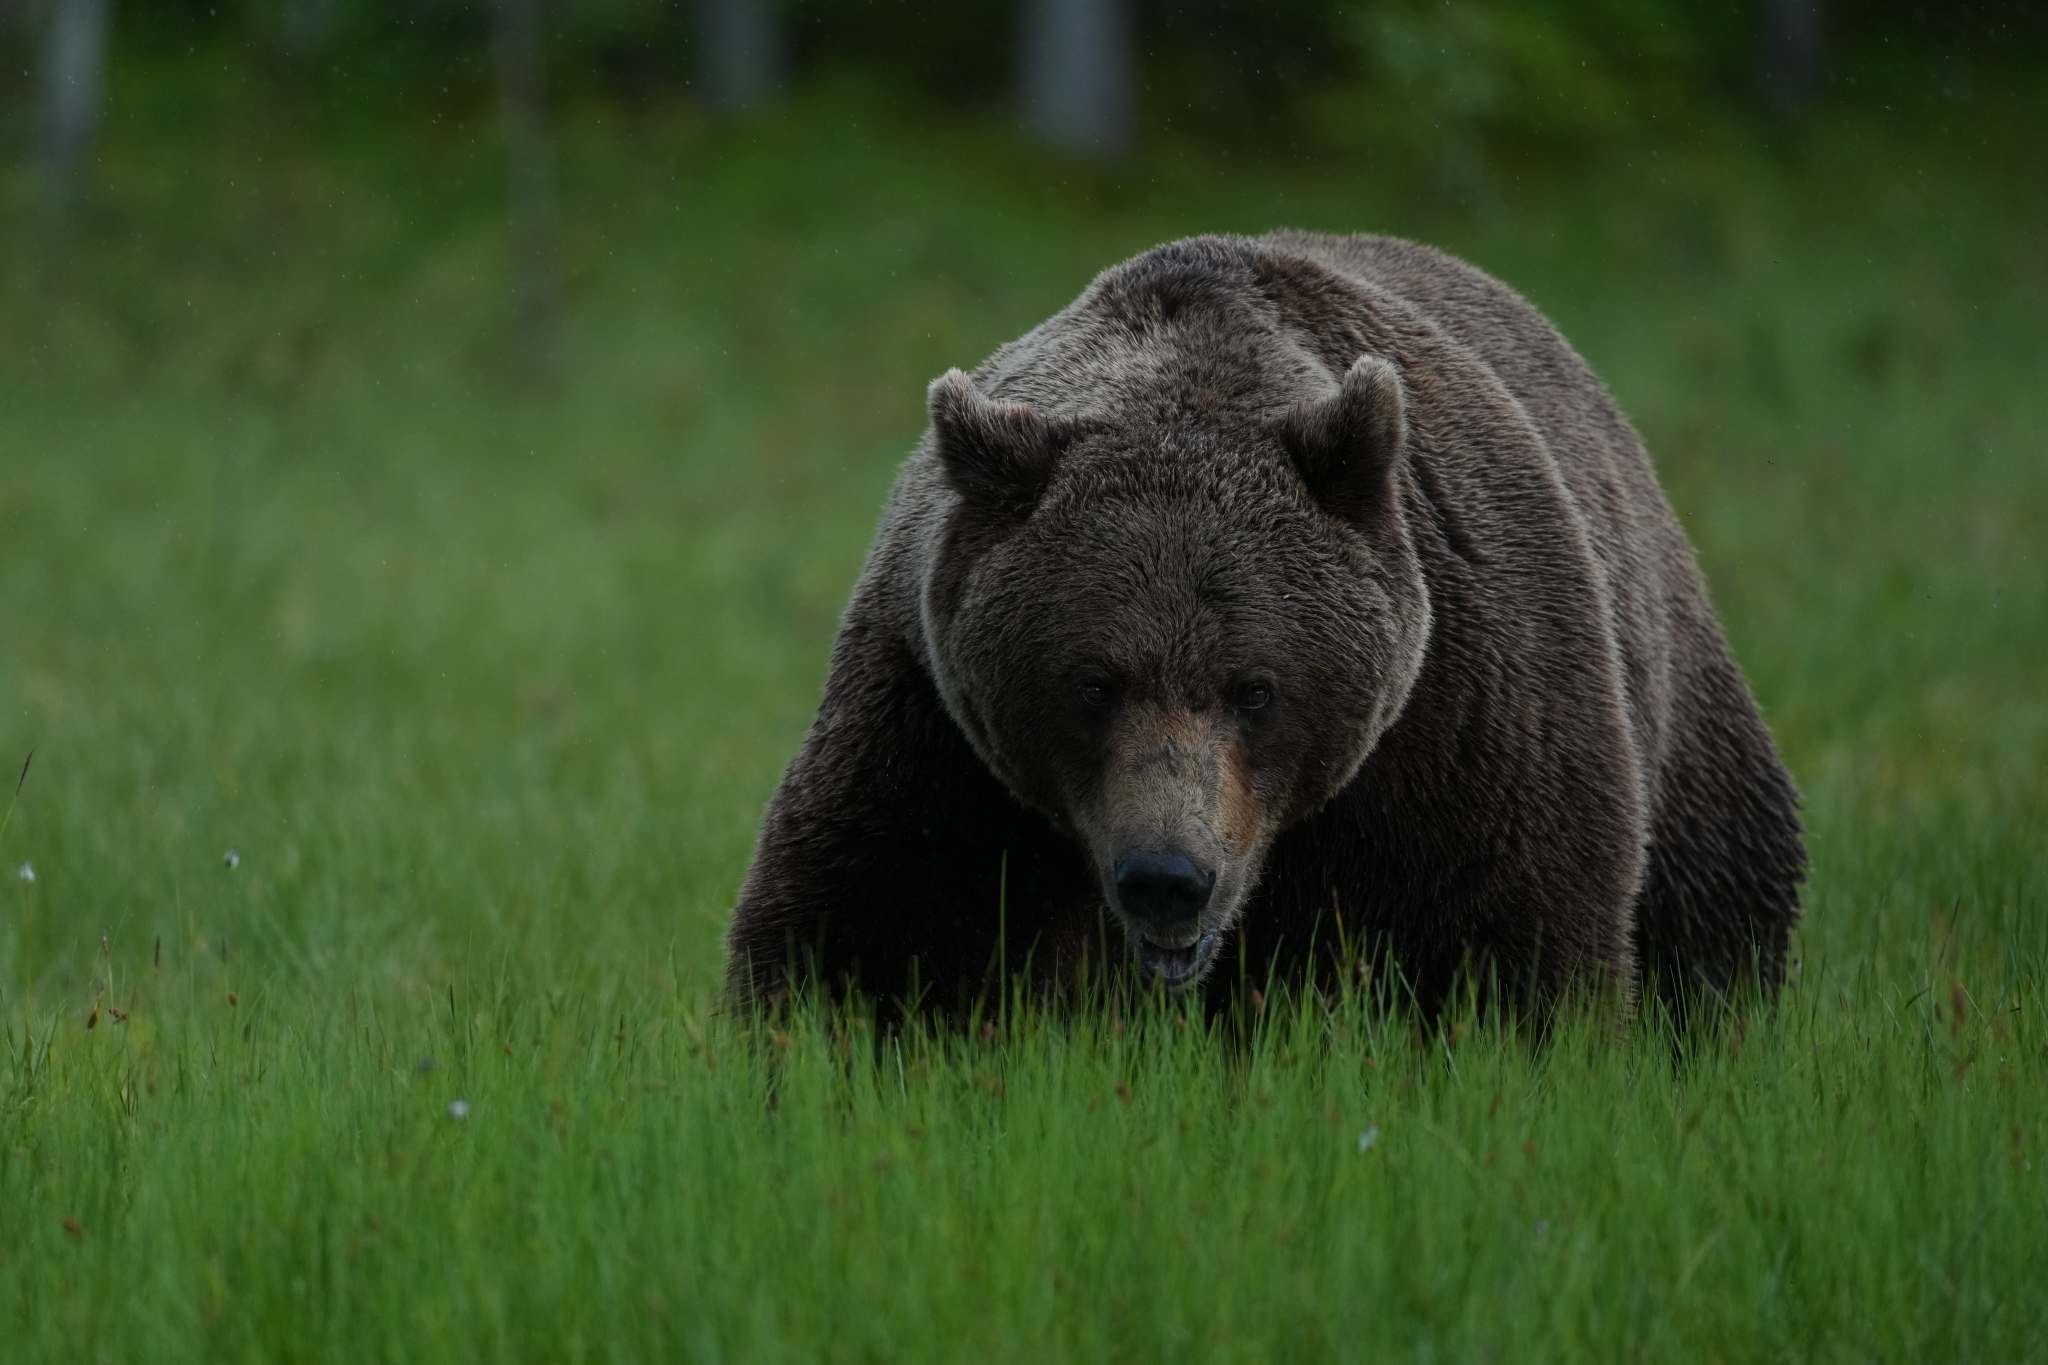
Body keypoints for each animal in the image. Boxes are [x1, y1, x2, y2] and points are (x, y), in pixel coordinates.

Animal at [725, 232, 1804, 1023]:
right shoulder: (933, 727)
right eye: (1091, 682)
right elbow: (860, 935)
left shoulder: (1464, 717)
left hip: (1681, 721)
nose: (1168, 876)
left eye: (1254, 688)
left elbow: (1511, 943)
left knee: (1713, 918)